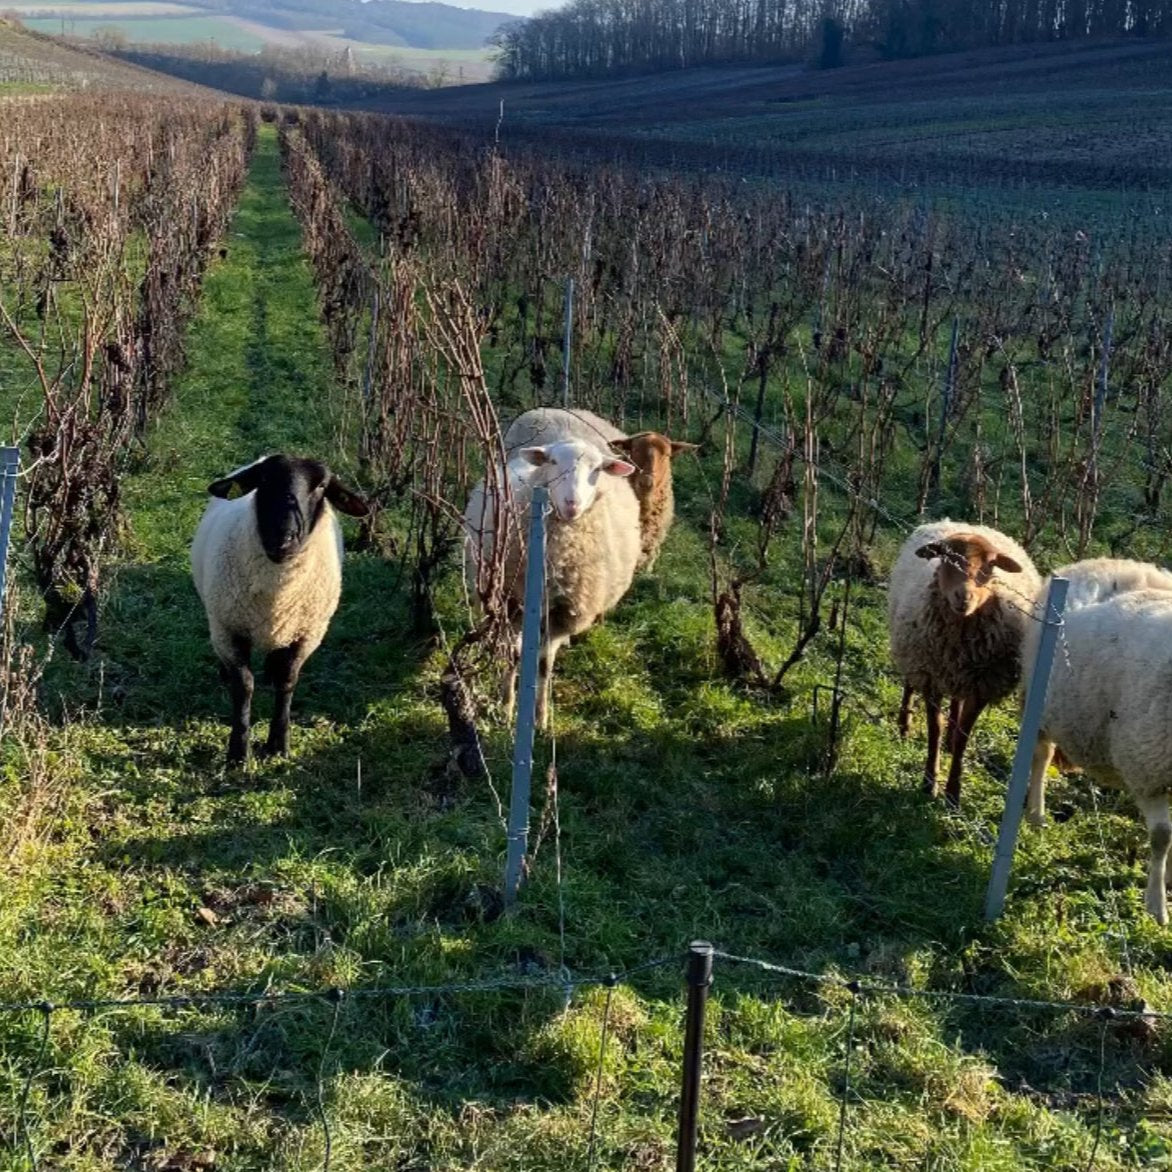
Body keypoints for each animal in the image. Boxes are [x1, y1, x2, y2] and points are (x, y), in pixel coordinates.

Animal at [189, 452, 368, 764]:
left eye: (322, 486)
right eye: (263, 480)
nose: (283, 540)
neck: (277, 596)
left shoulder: (307, 634)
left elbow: (287, 681)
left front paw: (278, 745)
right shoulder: (229, 629)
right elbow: (244, 685)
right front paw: (238, 752)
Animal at [461, 410, 642, 721]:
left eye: (597, 469)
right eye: (553, 462)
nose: (572, 504)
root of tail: (569, 412)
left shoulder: (562, 613)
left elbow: (544, 664)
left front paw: (541, 716)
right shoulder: (511, 602)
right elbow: (514, 655)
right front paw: (507, 706)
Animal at [886, 522, 1045, 806]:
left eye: (991, 564)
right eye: (945, 557)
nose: (964, 596)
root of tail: (955, 521)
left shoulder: (982, 686)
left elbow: (963, 736)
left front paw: (953, 792)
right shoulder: (931, 677)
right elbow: (934, 729)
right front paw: (929, 783)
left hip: (961, 674)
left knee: (956, 702)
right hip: (910, 650)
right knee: (909, 684)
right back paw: (904, 725)